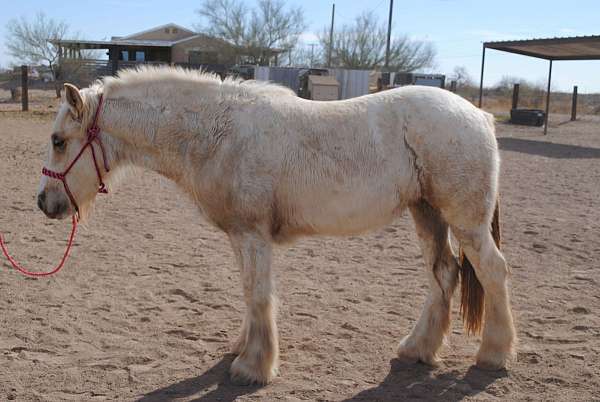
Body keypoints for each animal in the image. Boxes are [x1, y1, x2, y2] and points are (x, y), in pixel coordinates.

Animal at [37, 67, 516, 384]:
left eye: (59, 141)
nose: (44, 202)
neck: (215, 133)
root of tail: (479, 117)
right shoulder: (241, 237)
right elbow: (249, 293)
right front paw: (244, 348)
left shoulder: (253, 235)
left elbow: (259, 294)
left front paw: (253, 367)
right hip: (427, 214)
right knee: (444, 274)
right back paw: (418, 349)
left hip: (465, 222)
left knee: (492, 272)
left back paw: (494, 354)